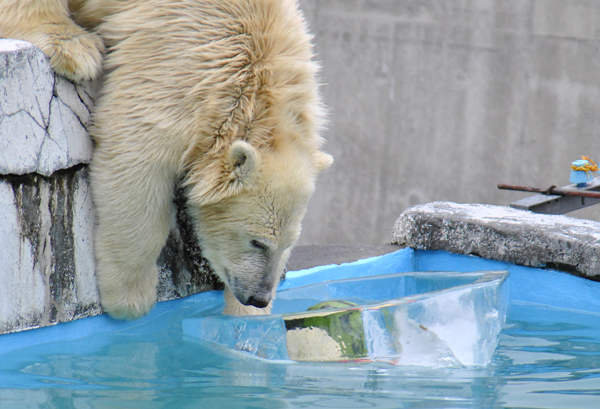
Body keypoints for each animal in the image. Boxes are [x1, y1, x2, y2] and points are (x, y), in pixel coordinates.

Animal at [0, 0, 330, 318]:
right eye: (257, 241)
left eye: (287, 244)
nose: (259, 298)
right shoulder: (180, 66)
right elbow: (134, 156)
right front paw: (130, 299)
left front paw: (247, 318)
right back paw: (73, 47)